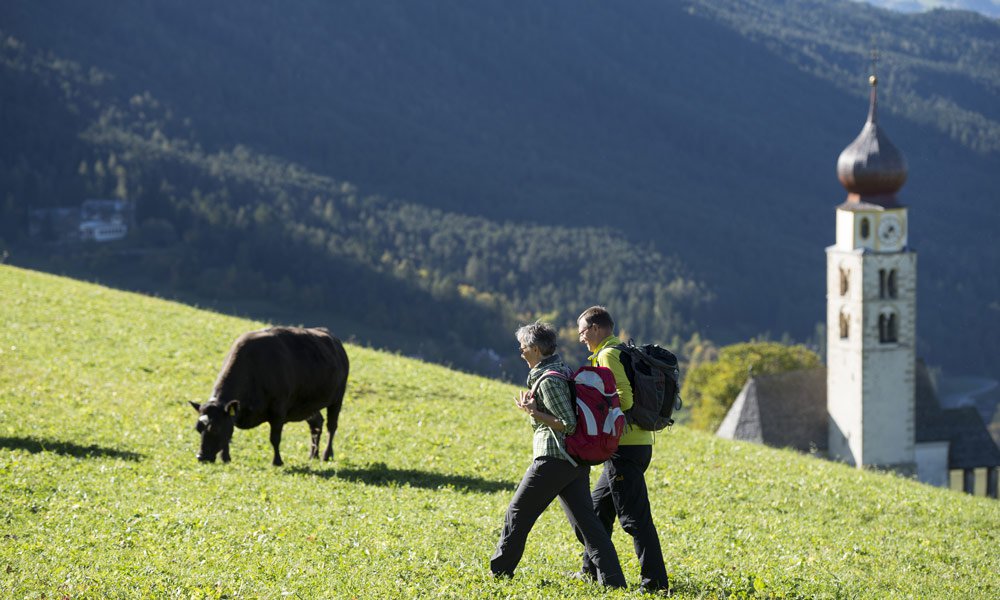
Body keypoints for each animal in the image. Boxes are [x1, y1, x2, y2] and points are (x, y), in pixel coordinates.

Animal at [189, 328, 350, 464]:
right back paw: (313, 455)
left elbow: (275, 439)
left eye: (214, 428)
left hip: (337, 398)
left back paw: (326, 455)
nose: (200, 457)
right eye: (198, 428)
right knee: (316, 423)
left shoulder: (278, 411)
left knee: (331, 427)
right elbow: (228, 436)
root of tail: (334, 340)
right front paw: (226, 458)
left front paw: (277, 461)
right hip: (308, 406)